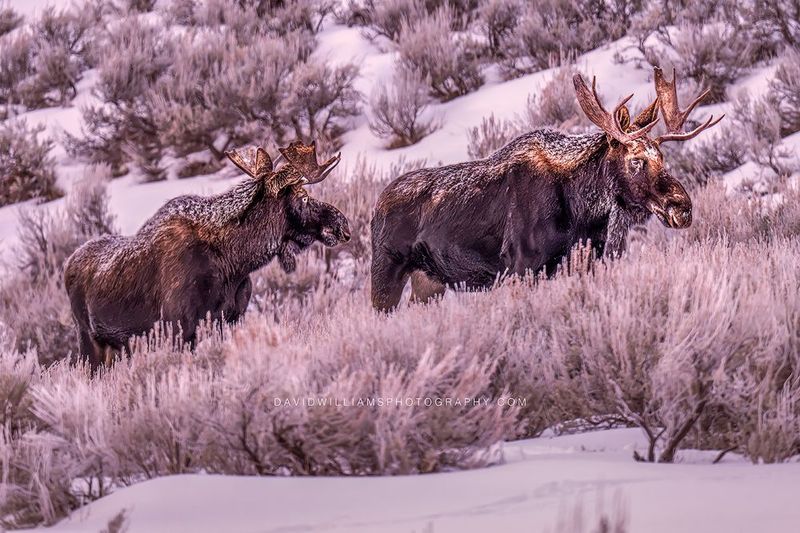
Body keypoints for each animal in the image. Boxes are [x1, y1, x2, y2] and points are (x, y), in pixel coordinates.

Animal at [64, 141, 351, 371]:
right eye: (303, 198)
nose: (343, 225)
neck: (235, 263)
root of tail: (68, 264)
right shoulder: (179, 328)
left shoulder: (232, 318)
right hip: (89, 339)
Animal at [370, 67, 723, 311]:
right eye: (635, 160)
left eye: (662, 157)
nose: (682, 206)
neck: (583, 213)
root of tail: (375, 207)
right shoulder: (520, 268)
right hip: (385, 271)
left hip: (428, 283)